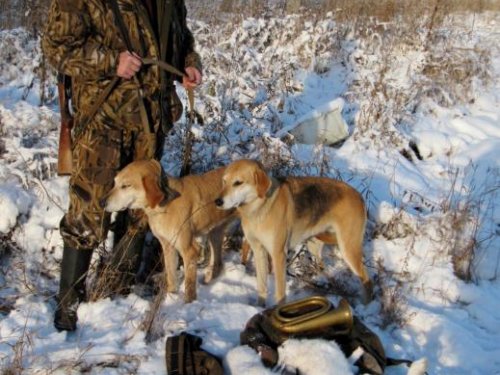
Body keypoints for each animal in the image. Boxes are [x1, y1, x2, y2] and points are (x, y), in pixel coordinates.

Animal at [103, 160, 236, 304]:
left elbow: (189, 287)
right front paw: (171, 299)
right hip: (215, 232)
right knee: (218, 263)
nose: (102, 202)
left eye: (125, 186)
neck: (166, 205)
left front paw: (188, 303)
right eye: (115, 183)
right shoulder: (168, 246)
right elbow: (171, 278)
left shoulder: (189, 250)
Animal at [215, 160, 372, 306]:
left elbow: (280, 292)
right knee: (322, 267)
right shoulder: (259, 251)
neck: (260, 208)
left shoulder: (278, 255)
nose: (217, 201)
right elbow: (262, 287)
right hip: (314, 247)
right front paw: (259, 308)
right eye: (224, 181)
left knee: (367, 280)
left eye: (238, 183)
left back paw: (366, 304)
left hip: (348, 250)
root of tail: (359, 196)